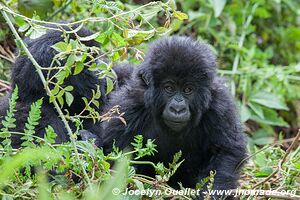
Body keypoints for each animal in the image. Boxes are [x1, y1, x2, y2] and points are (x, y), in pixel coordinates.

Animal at [104, 36, 247, 198]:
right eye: (169, 88)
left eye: (188, 89)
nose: (178, 109)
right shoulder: (129, 106)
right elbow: (114, 152)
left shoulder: (220, 105)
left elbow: (226, 151)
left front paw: (210, 194)